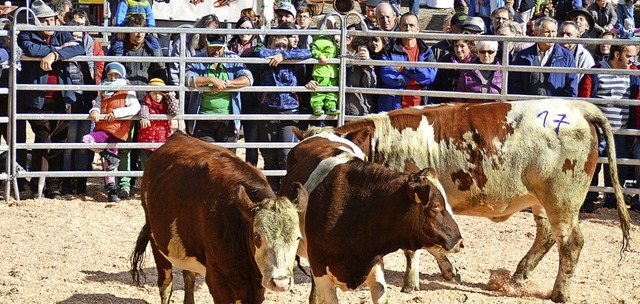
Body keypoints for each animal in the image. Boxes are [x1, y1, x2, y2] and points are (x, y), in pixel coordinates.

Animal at [130, 131, 308, 304]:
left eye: (297, 237)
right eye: (257, 236)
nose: (280, 282)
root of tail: (177, 135)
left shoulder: (255, 288)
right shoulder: (220, 285)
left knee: (189, 275)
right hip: (157, 239)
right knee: (166, 284)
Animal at [322, 99, 632, 302]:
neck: (383, 143)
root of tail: (581, 108)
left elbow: (414, 249)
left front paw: (411, 284)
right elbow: (432, 245)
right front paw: (449, 271)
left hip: (562, 200)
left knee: (571, 243)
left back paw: (560, 293)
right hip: (541, 200)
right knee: (545, 237)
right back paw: (519, 276)